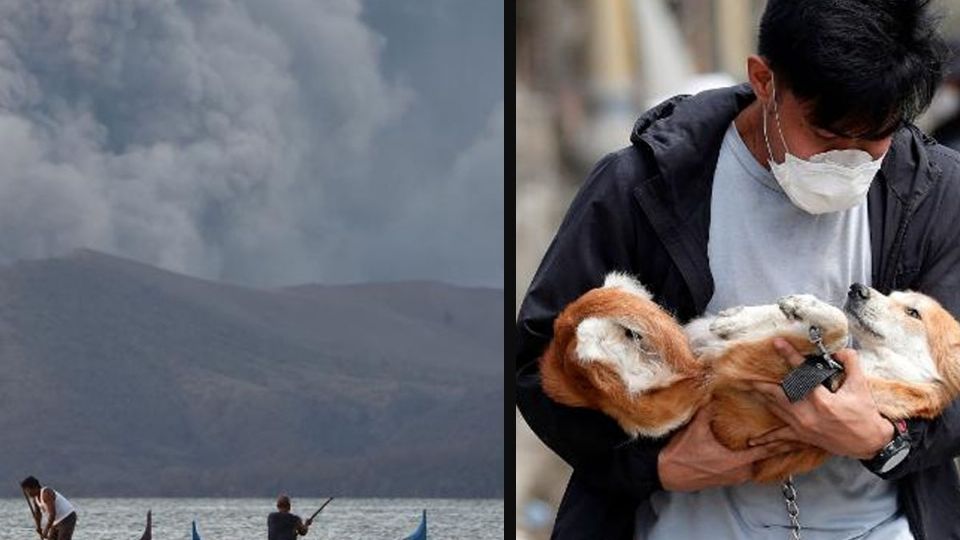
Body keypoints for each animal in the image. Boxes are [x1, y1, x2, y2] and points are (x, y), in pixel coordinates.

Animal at [536, 274, 960, 480]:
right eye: (896, 296)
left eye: (913, 313)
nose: (858, 288)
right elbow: (800, 320)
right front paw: (759, 312)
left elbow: (837, 326)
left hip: (649, 392)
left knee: (596, 352)